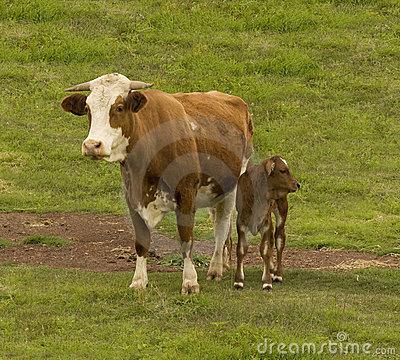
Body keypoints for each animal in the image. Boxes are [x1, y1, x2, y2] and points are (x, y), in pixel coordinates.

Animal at [60, 74, 252, 296]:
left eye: (119, 107)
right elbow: (142, 242)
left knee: (222, 225)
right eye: (88, 109)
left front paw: (190, 281)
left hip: (235, 183)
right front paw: (139, 281)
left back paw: (215, 268)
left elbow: (186, 238)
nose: (92, 145)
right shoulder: (132, 196)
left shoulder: (186, 194)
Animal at [234, 156, 300, 292]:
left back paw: (278, 274)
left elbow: (265, 250)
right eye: (282, 170)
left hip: (281, 210)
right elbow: (241, 249)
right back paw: (271, 268)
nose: (297, 184)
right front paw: (238, 281)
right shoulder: (241, 223)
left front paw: (267, 282)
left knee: (279, 239)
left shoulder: (265, 223)